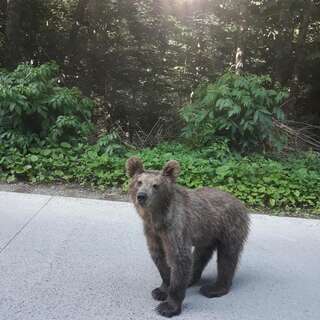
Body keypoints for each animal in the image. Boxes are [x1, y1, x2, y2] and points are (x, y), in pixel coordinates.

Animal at [127, 156, 250, 316]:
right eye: (139, 182)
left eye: (155, 185)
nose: (141, 196)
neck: (158, 217)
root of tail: (240, 203)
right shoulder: (152, 232)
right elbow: (159, 258)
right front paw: (160, 290)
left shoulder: (176, 228)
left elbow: (180, 258)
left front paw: (168, 307)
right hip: (207, 233)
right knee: (200, 255)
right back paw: (191, 278)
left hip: (229, 228)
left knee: (227, 257)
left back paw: (214, 288)